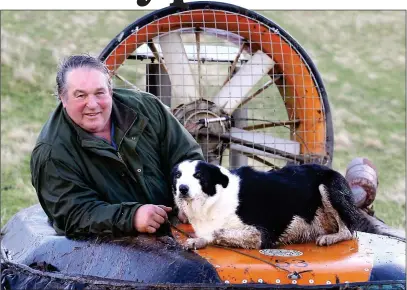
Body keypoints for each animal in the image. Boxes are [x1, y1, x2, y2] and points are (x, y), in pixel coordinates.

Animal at [172, 160, 380, 250]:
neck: (215, 197)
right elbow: (214, 233)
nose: (182, 188)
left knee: (349, 231)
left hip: (328, 186)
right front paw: (198, 241)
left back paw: (330, 238)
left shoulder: (260, 235)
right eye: (178, 175)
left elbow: (217, 231)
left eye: (198, 175)